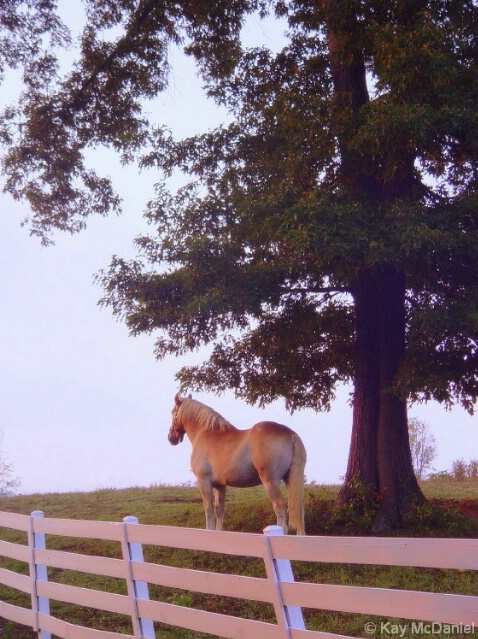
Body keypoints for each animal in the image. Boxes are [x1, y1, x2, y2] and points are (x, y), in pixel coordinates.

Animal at [168, 396, 306, 536]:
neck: (205, 433)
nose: (171, 437)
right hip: (290, 480)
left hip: (271, 482)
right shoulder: (220, 486)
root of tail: (290, 434)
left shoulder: (204, 482)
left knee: (279, 507)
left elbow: (209, 509)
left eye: (173, 412)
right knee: (299, 509)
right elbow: (219, 510)